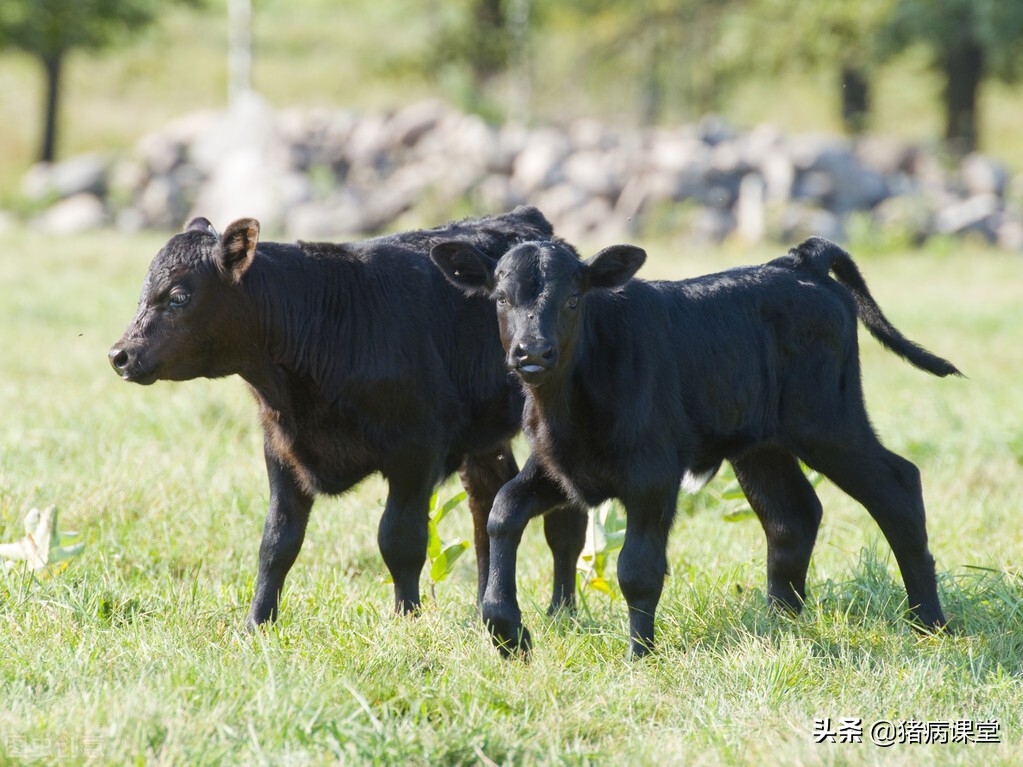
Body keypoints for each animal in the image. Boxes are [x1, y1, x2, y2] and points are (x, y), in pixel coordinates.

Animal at [107, 208, 589, 629]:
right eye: (144, 292)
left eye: (178, 296)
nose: (120, 354)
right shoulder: (280, 449)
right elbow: (277, 542)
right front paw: (256, 623)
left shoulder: (416, 451)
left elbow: (399, 540)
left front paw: (406, 619)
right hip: (483, 440)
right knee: (486, 503)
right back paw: (479, 610)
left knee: (563, 521)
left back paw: (561, 612)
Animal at [435, 237, 961, 658]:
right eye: (501, 298)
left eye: (572, 299)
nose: (533, 353)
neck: (567, 407)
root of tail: (797, 264)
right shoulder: (559, 465)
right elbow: (503, 511)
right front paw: (506, 632)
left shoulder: (653, 474)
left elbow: (637, 569)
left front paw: (641, 657)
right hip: (761, 443)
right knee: (792, 514)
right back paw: (781, 624)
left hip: (828, 421)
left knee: (898, 487)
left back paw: (929, 623)